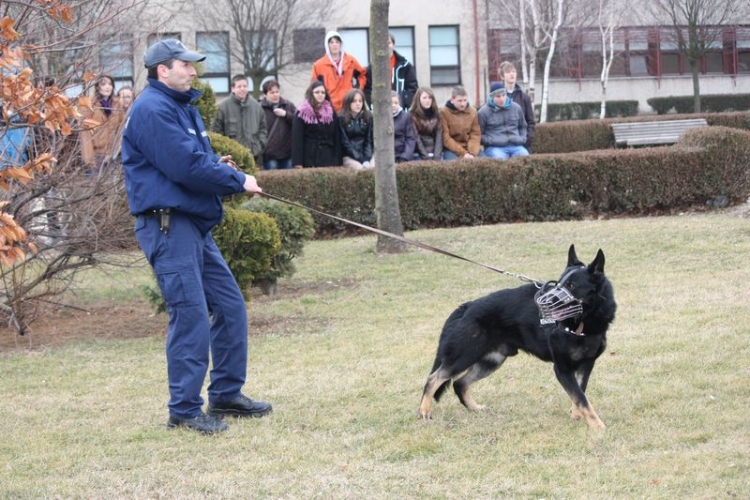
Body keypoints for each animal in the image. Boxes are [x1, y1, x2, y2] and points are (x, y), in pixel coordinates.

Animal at [418, 246, 616, 430]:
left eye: (571, 286)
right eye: (558, 284)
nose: (543, 302)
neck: (582, 324)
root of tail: (466, 307)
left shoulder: (586, 365)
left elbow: (580, 393)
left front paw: (577, 416)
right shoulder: (562, 369)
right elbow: (582, 399)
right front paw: (598, 427)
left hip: (491, 361)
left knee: (460, 384)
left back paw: (475, 409)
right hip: (464, 356)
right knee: (434, 379)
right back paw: (424, 412)